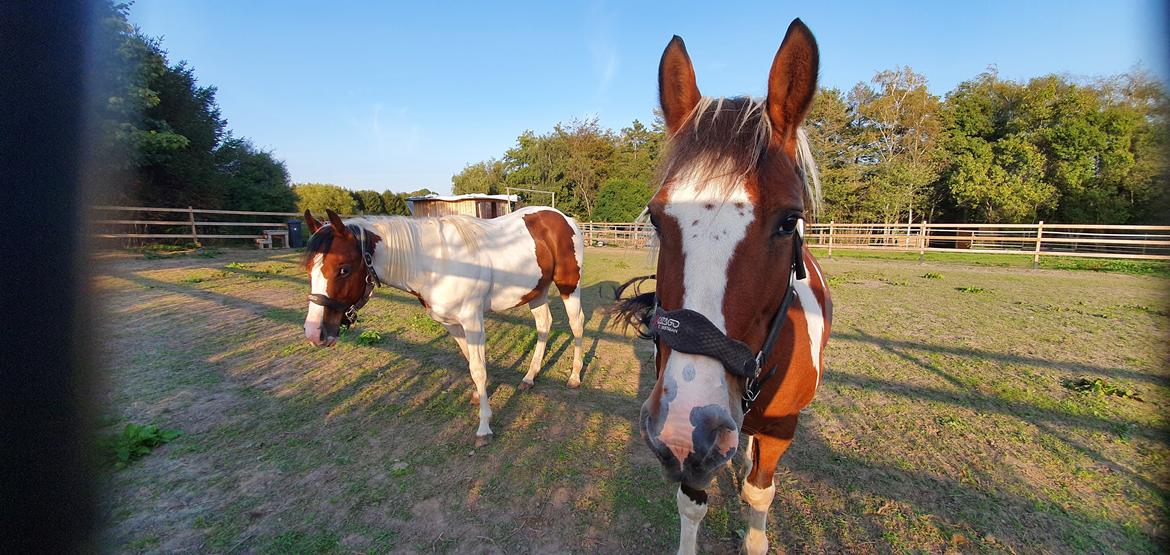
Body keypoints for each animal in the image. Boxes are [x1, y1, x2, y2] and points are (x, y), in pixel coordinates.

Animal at [301, 204, 585, 447]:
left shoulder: (472, 320)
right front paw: (478, 397)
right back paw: (529, 377)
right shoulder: (452, 324)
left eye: (343, 269)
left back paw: (574, 377)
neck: (437, 263)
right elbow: (471, 361)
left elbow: (478, 369)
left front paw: (484, 428)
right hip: (536, 291)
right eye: (308, 269)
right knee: (544, 325)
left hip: (568, 286)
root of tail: (565, 218)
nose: (315, 333)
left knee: (577, 325)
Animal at [613, 18, 833, 555]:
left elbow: (758, 495)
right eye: (656, 218)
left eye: (789, 221)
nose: (686, 428)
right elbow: (692, 501)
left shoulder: (781, 429)